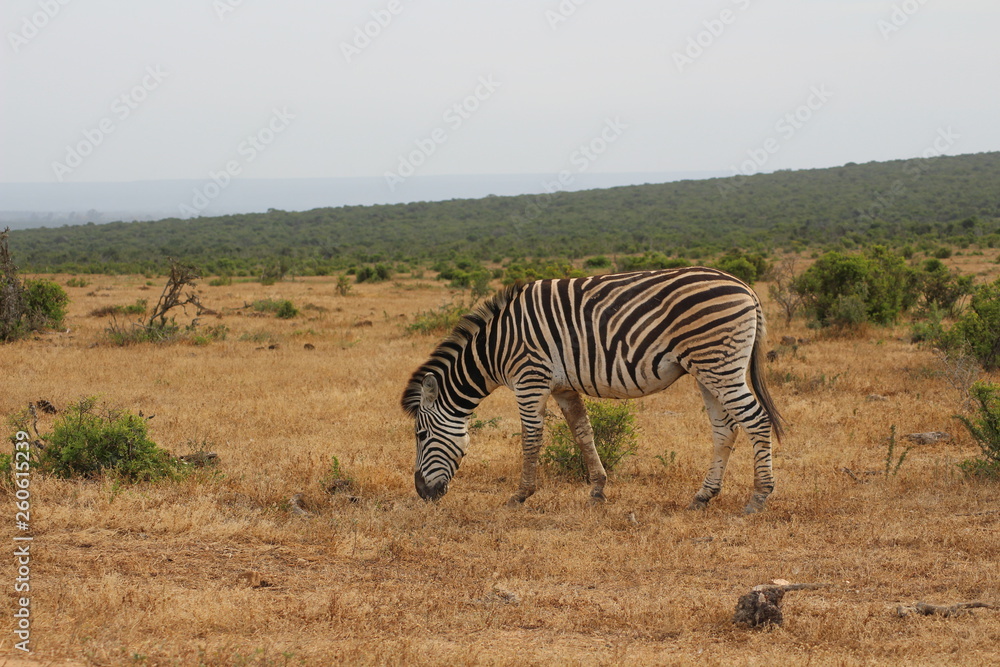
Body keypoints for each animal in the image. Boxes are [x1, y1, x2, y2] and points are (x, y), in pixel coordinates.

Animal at [401, 267, 785, 513]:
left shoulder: (529, 379)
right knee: (725, 429)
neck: (497, 346)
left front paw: (520, 496)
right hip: (706, 369)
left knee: (756, 420)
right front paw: (598, 490)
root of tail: (746, 288)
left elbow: (530, 440)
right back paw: (703, 497)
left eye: (421, 435)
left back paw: (759, 497)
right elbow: (583, 432)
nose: (421, 493)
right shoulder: (562, 386)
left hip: (718, 363)